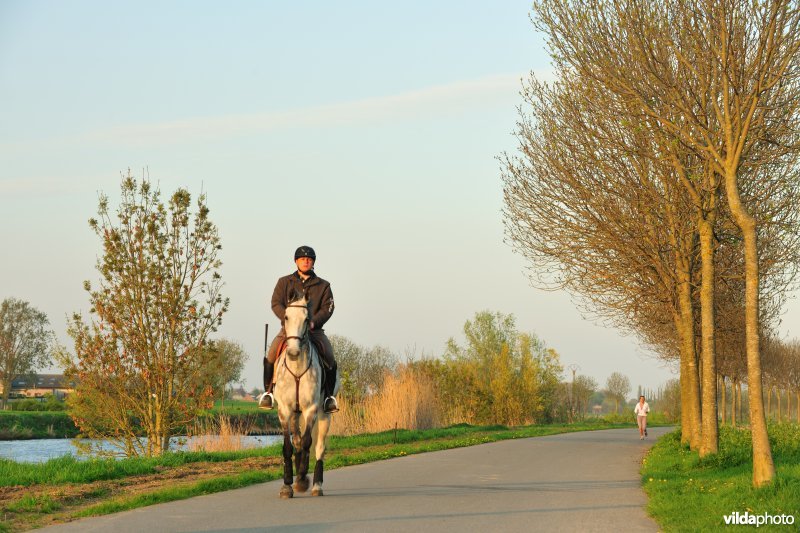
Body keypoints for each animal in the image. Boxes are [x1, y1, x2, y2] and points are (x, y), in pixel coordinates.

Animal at [274, 294, 340, 496]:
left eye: (306, 319)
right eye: (286, 317)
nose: (293, 352)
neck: (296, 368)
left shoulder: (311, 409)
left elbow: (307, 442)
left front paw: (302, 478)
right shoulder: (284, 410)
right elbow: (288, 446)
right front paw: (288, 484)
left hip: (324, 415)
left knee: (319, 447)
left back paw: (317, 485)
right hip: (296, 414)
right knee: (296, 440)